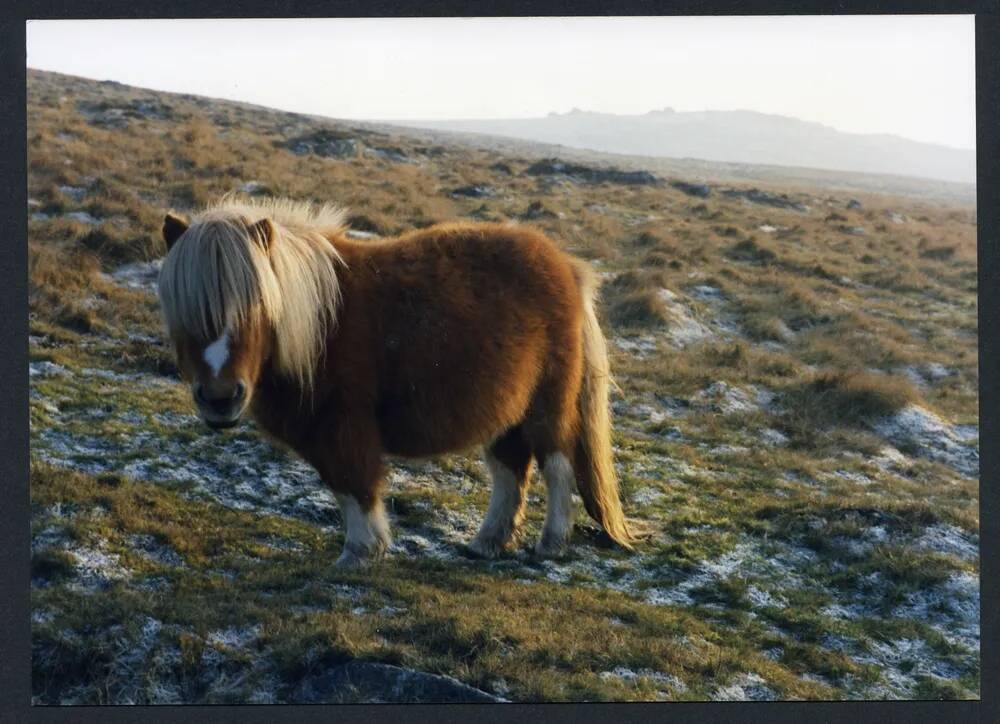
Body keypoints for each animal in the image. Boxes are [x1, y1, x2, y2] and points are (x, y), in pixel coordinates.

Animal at [160, 197, 636, 564]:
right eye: (183, 310)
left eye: (255, 307)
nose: (220, 399)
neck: (320, 324)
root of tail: (566, 266)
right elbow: (342, 487)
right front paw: (363, 549)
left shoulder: (344, 427)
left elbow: (355, 485)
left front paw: (359, 553)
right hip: (507, 411)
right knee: (510, 470)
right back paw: (486, 543)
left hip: (547, 405)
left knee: (557, 465)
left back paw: (551, 543)